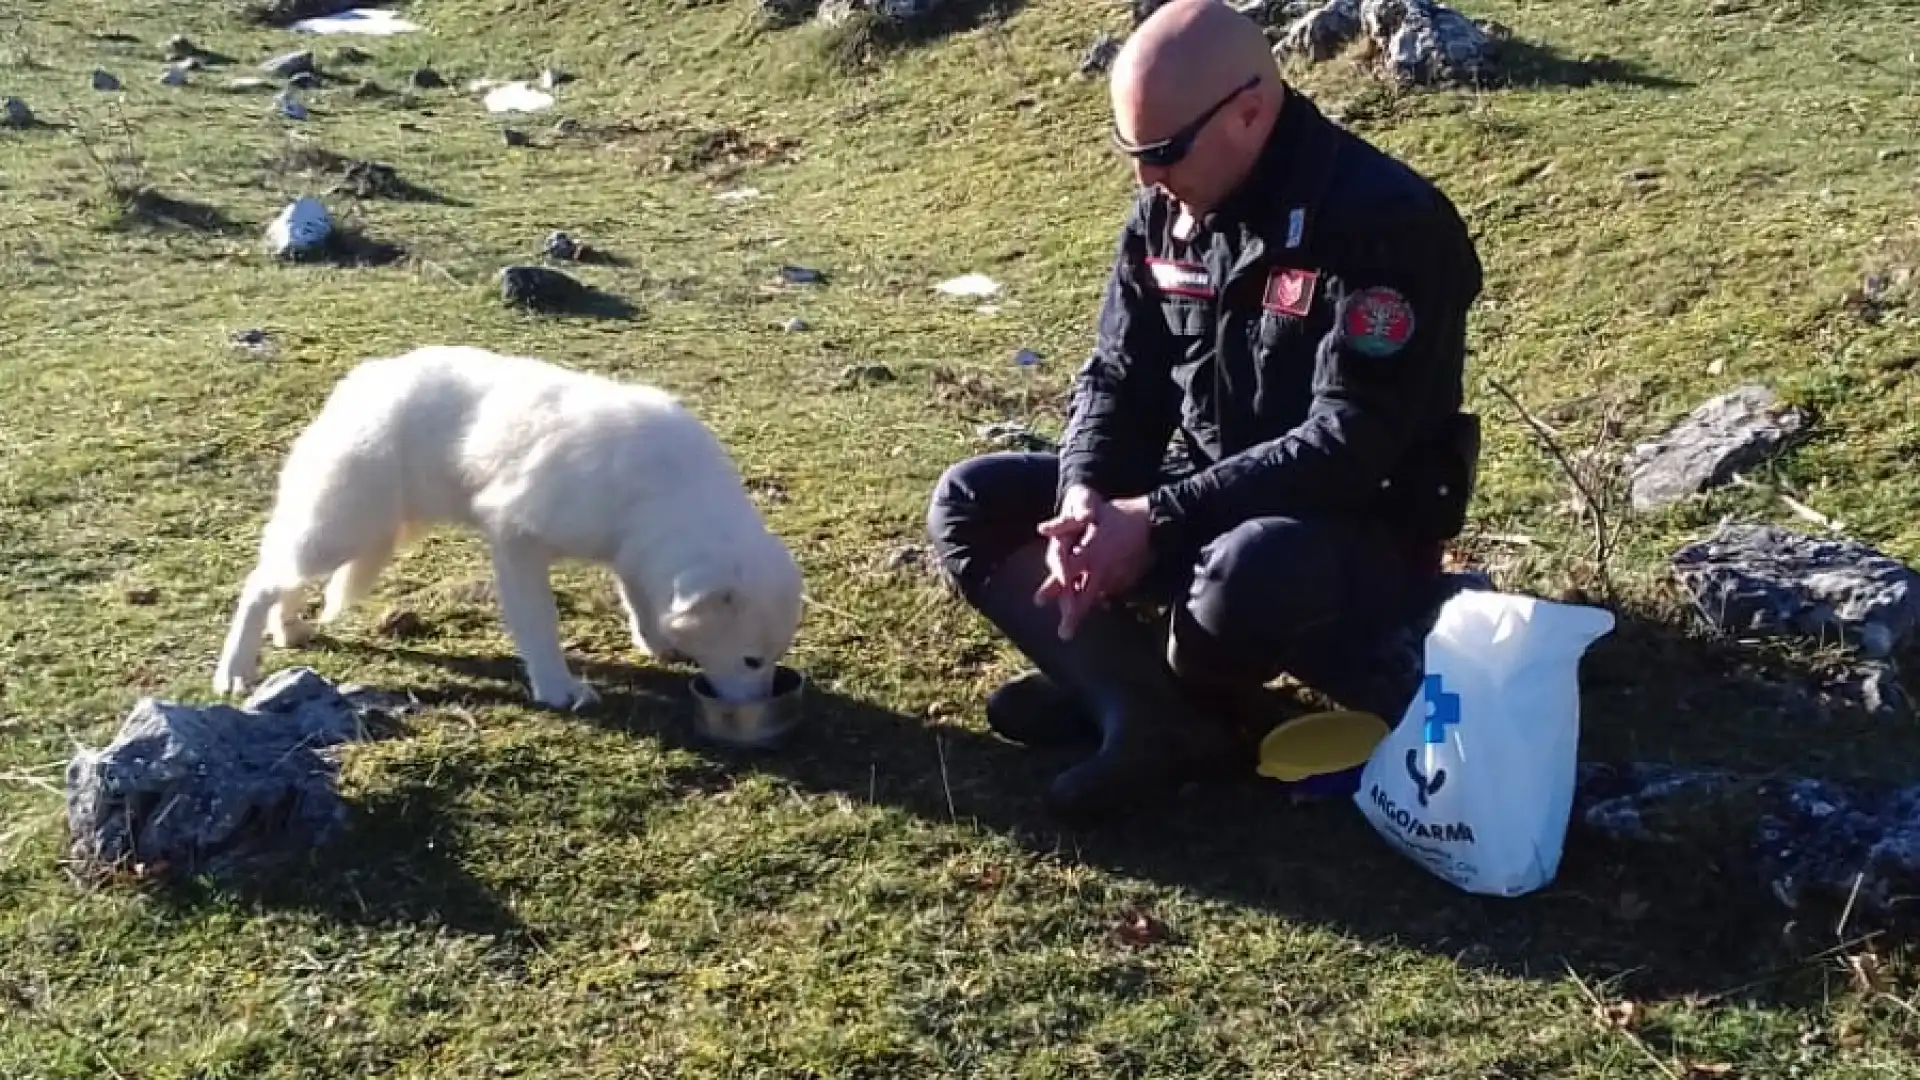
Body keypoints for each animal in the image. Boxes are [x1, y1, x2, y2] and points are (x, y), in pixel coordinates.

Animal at [210, 343, 802, 707]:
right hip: (343, 528)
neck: (666, 489)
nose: (764, 701)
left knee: (286, 582)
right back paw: (235, 669)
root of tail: (364, 378)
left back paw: (288, 629)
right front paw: (558, 688)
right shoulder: (516, 539)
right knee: (260, 584)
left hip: (353, 532)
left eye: (774, 659)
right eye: (751, 660)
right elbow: (539, 624)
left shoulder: (632, 552)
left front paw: (656, 642)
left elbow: (640, 602)